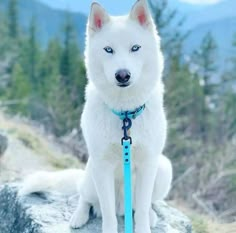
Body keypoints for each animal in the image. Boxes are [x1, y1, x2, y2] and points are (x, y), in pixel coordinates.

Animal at [19, 0, 171, 233]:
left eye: (135, 48)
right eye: (108, 50)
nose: (122, 75)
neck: (124, 114)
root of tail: (122, 207)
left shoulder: (148, 164)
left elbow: (143, 209)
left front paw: (144, 225)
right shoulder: (102, 166)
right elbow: (108, 214)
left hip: (163, 169)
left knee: (143, 206)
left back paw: (151, 215)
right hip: (91, 175)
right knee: (86, 198)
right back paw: (79, 216)